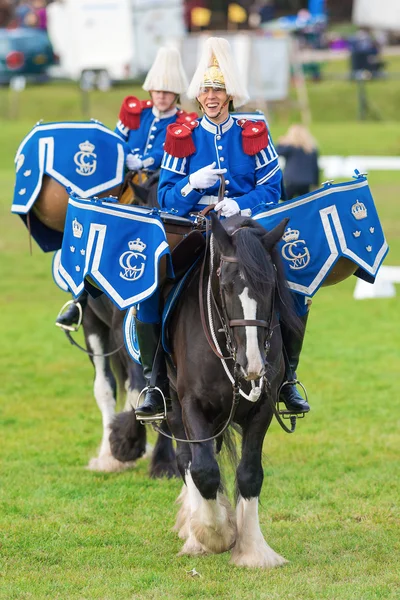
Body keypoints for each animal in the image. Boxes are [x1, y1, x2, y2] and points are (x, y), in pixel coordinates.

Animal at [110, 212, 304, 568]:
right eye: (225, 286)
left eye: (270, 285)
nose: (252, 364)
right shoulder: (192, 405)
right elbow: (202, 470)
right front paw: (215, 535)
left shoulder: (263, 408)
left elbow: (250, 473)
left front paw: (253, 550)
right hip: (173, 407)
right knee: (186, 460)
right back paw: (194, 528)